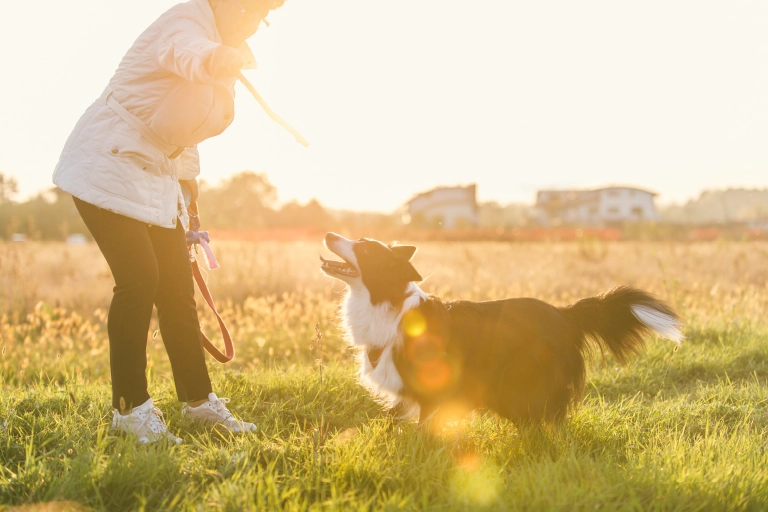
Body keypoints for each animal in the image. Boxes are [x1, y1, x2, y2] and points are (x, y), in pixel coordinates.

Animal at [320, 232, 684, 424]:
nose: (329, 235)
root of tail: (564, 313)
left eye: (365, 248)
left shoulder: (431, 386)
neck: (388, 304)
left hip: (521, 380)